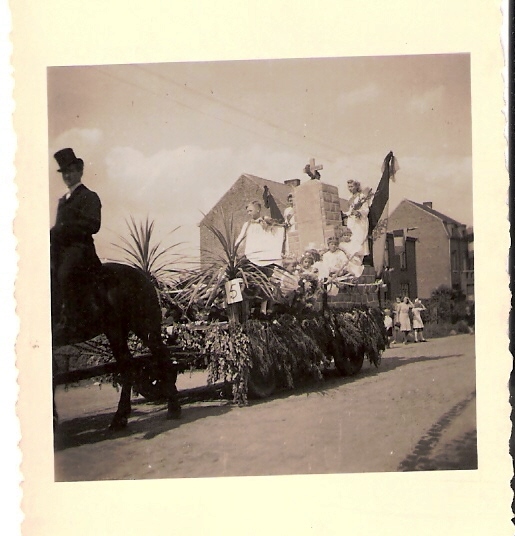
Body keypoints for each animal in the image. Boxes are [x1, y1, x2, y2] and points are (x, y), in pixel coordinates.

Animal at [52, 262, 181, 430]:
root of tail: (143, 276)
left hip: (144, 327)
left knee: (162, 357)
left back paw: (173, 408)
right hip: (116, 330)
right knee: (128, 365)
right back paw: (120, 418)